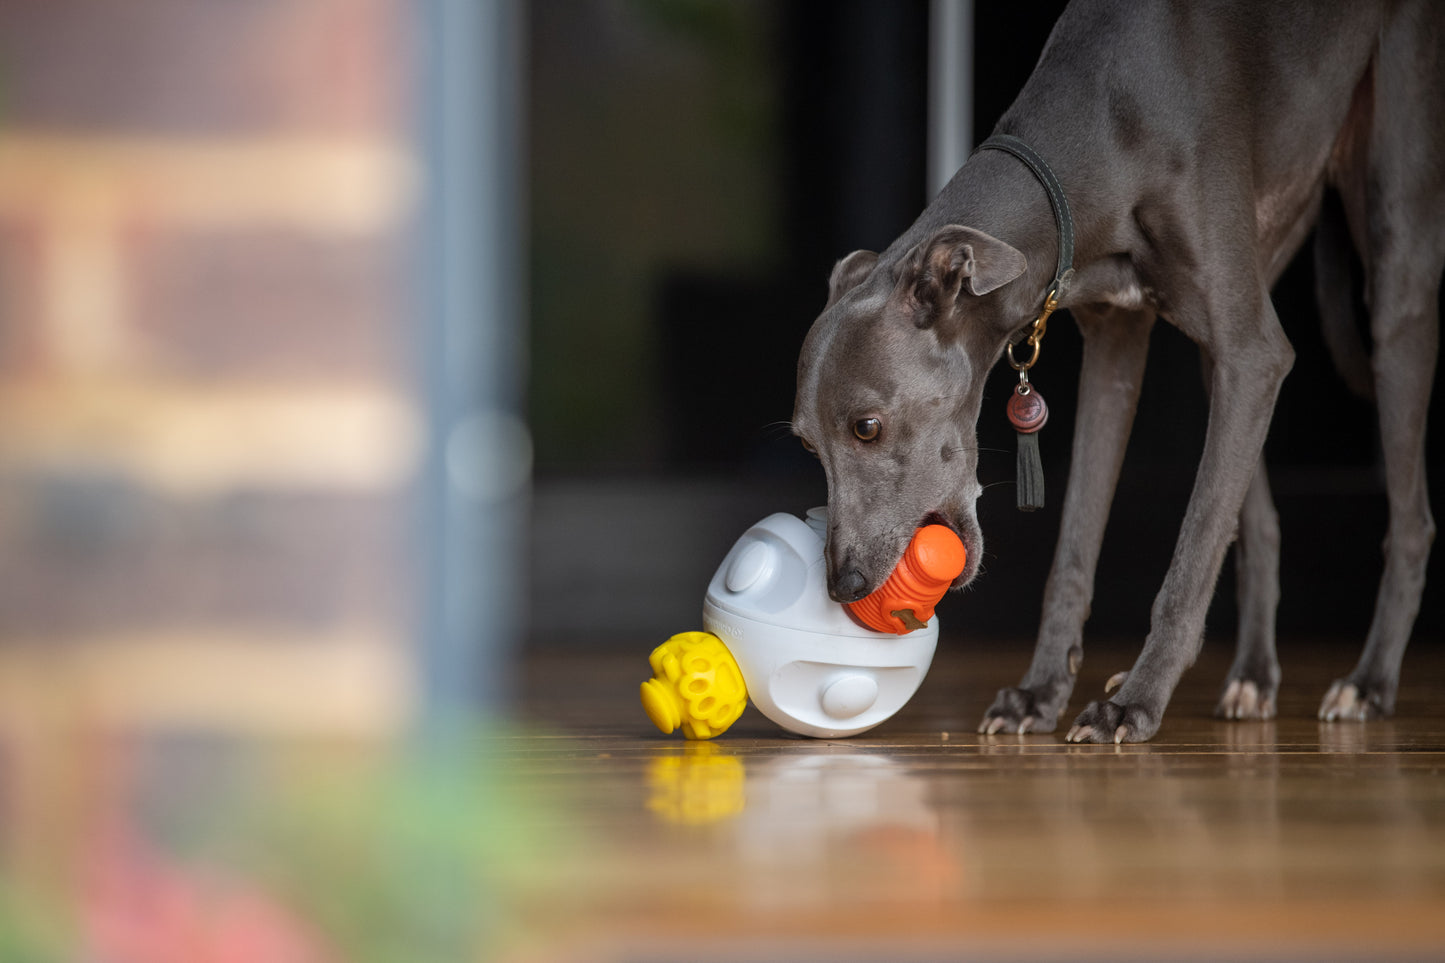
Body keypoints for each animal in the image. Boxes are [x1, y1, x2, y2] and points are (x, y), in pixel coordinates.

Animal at [791, 0, 1445, 740]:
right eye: (806, 443)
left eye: (867, 426)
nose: (842, 585)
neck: (1110, 118)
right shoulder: (1117, 345)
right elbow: (1076, 544)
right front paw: (1039, 692)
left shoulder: (1253, 352)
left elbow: (1190, 555)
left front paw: (1132, 702)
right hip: (1232, 325)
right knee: (1256, 520)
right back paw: (1253, 675)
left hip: (1393, 263)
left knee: (1410, 515)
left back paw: (1369, 683)